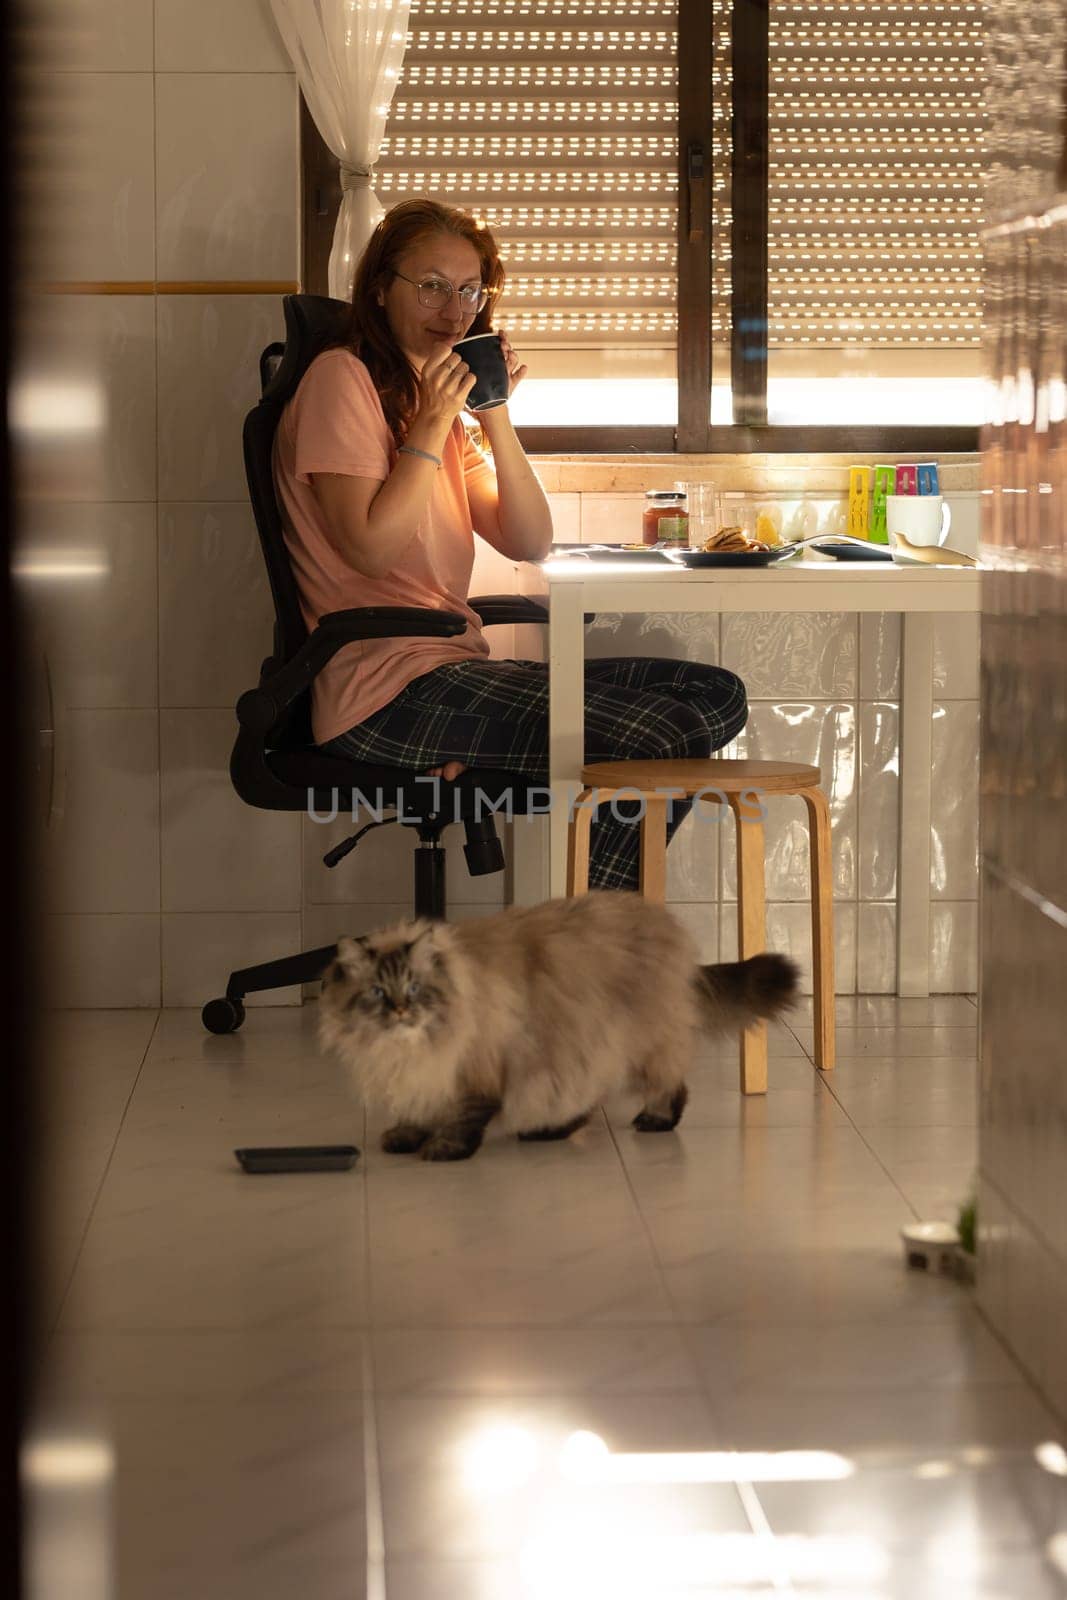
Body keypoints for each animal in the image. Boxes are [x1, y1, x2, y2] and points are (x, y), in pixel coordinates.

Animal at [321, 889, 796, 1164]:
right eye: (378, 992)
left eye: (415, 988)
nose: (401, 1010)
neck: (405, 1047)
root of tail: (664, 926)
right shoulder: (422, 1072)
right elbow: (418, 1108)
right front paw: (407, 1136)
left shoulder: (473, 1070)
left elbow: (461, 1117)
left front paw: (443, 1148)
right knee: (585, 1098)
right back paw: (549, 1131)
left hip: (622, 1043)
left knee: (670, 1085)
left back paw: (653, 1121)